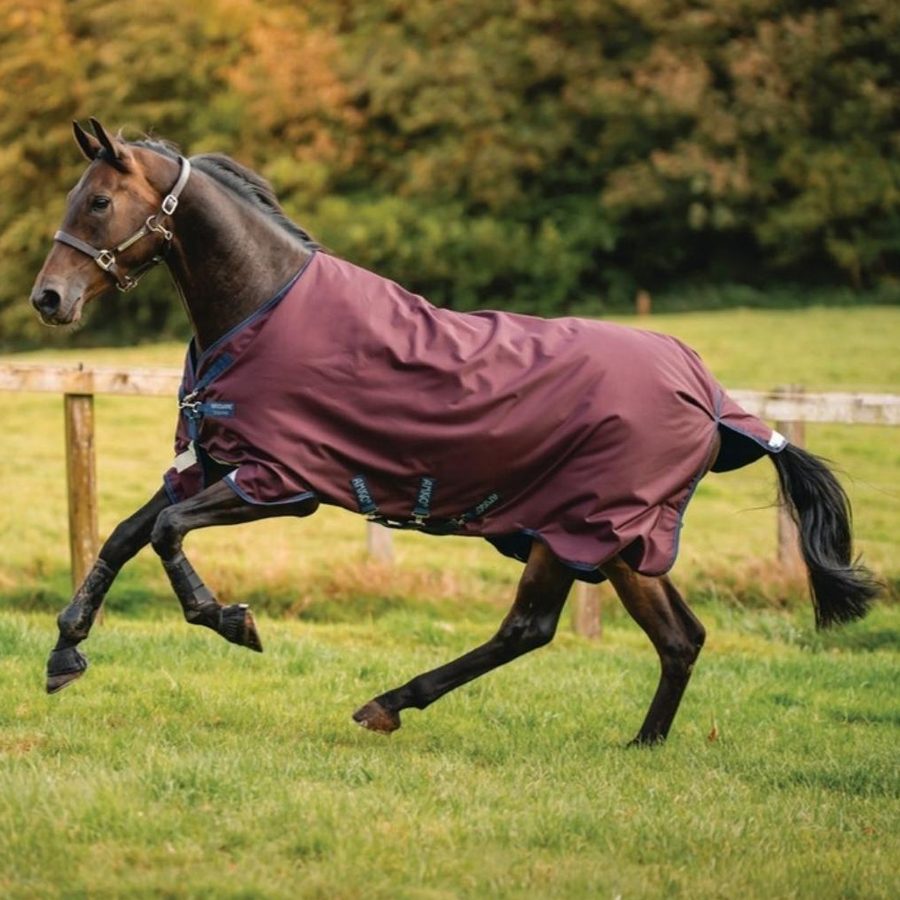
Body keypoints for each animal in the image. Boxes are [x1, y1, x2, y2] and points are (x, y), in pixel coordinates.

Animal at [30, 119, 878, 745]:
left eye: (98, 202)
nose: (49, 299)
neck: (261, 306)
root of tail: (710, 398)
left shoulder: (280, 482)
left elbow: (166, 531)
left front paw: (232, 621)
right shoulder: (213, 464)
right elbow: (124, 534)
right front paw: (65, 652)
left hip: (580, 529)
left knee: (530, 628)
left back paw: (389, 703)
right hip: (619, 539)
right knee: (678, 638)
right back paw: (643, 744)